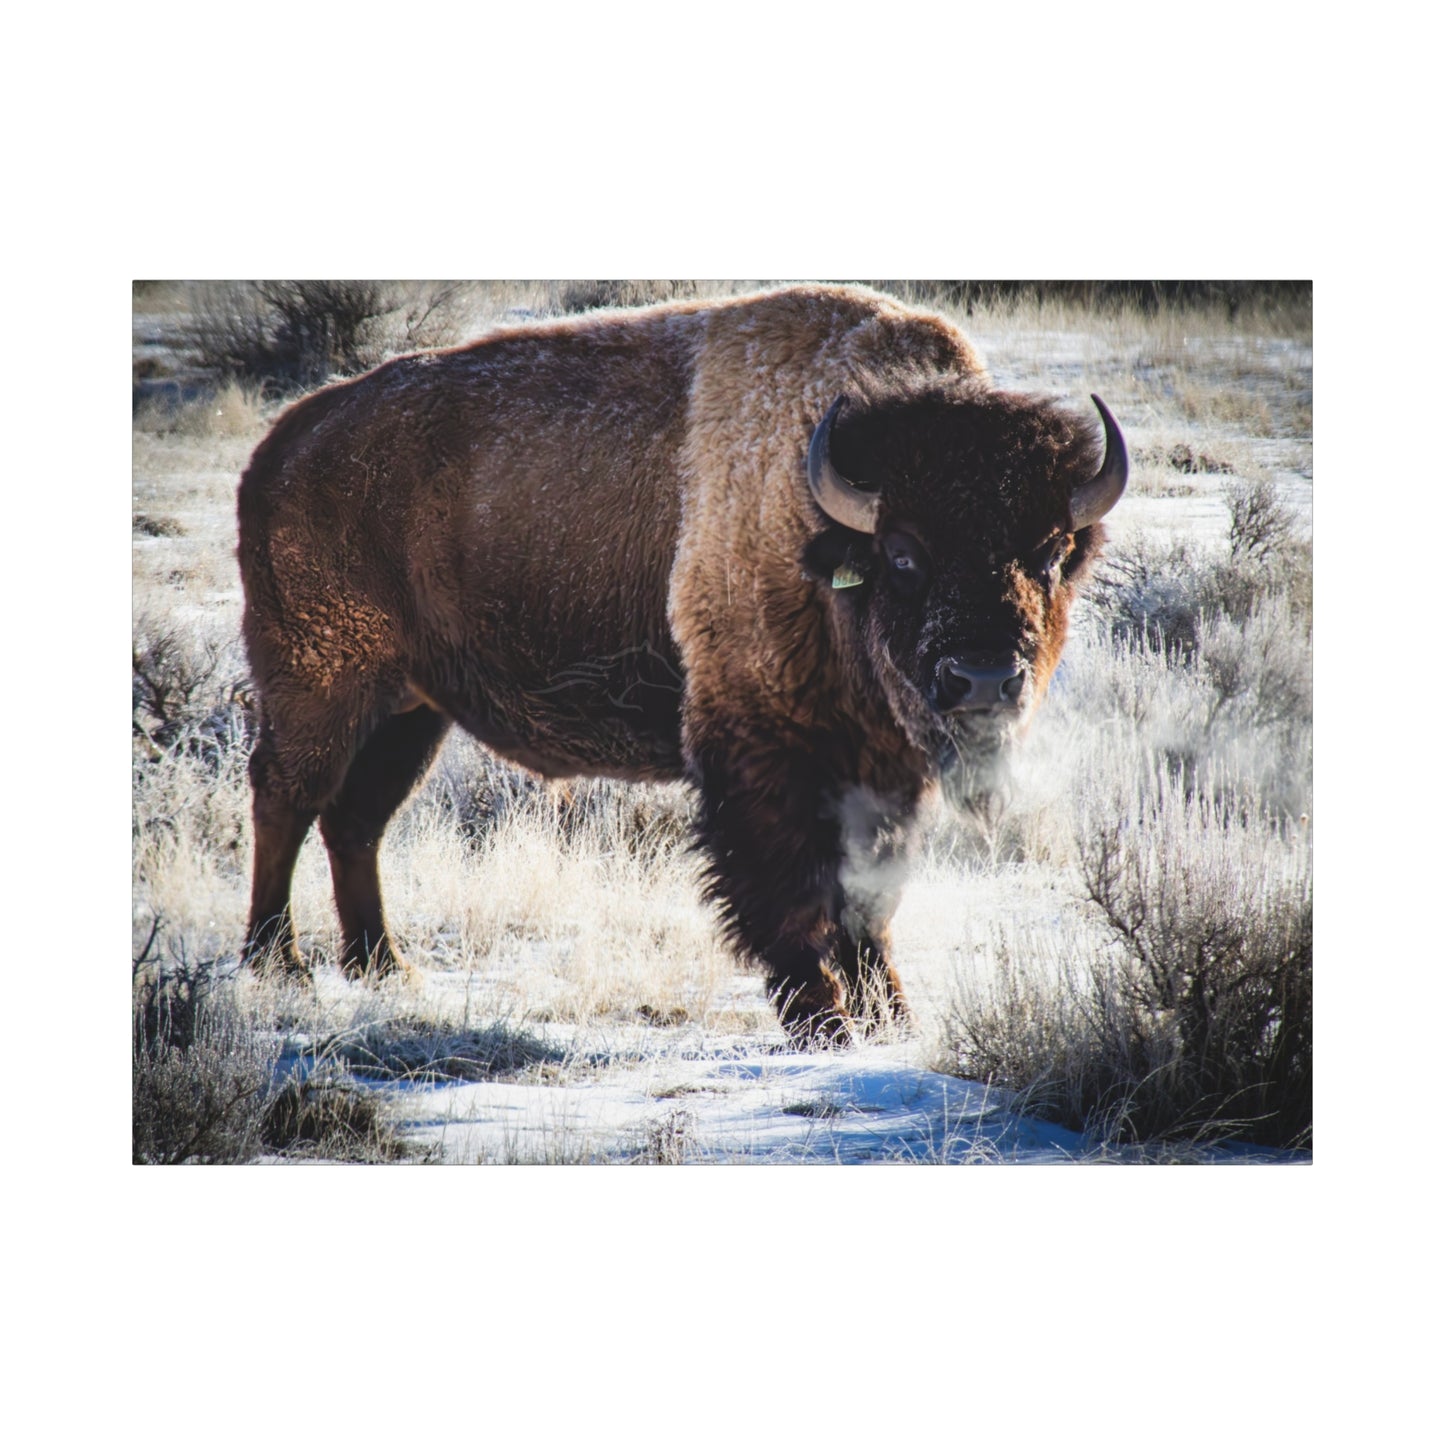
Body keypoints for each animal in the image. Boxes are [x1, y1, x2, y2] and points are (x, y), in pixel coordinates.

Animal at [237, 284, 1126, 1043]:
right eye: (903, 554)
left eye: (1050, 551)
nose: (982, 679)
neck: (819, 520)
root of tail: (283, 443)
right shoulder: (763, 751)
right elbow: (791, 893)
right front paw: (824, 1023)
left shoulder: (883, 769)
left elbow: (868, 899)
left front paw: (891, 1020)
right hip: (320, 683)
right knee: (287, 798)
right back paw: (278, 964)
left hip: (410, 711)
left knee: (356, 820)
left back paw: (384, 967)